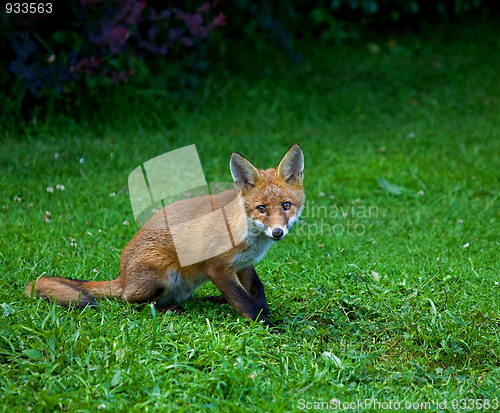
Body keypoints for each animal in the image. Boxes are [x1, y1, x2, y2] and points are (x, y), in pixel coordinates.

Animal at [25, 143, 304, 330]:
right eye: (261, 208)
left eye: (286, 205)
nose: (277, 232)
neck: (247, 233)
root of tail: (122, 277)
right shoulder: (217, 267)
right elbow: (245, 301)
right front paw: (269, 327)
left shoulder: (243, 265)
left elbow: (256, 290)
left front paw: (267, 315)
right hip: (164, 272)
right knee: (131, 302)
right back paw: (171, 309)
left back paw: (212, 299)